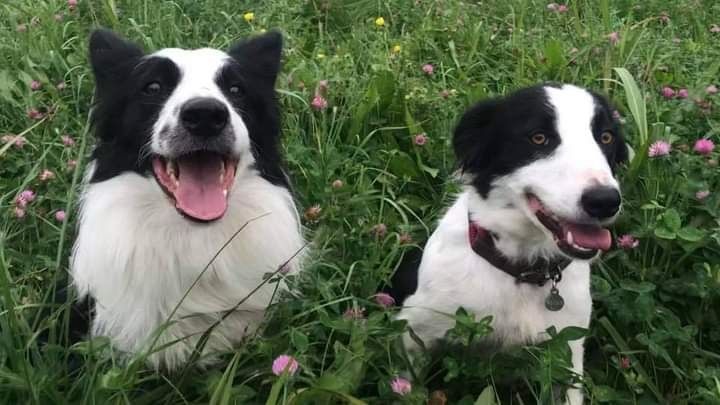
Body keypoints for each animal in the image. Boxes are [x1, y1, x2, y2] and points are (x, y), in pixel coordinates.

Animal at [393, 84, 627, 404]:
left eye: (606, 137)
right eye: (539, 137)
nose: (604, 201)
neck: (522, 272)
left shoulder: (567, 350)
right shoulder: (416, 331)